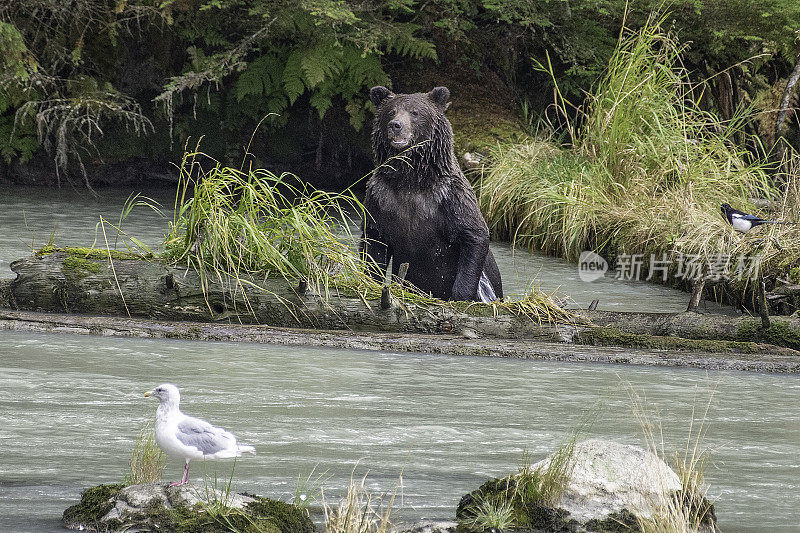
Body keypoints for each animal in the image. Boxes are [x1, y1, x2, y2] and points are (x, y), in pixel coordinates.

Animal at [360, 85, 504, 302]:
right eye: (391, 112)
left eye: (415, 112)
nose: (396, 125)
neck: (411, 180)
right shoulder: (381, 197)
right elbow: (373, 240)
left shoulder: (449, 197)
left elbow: (474, 235)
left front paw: (460, 295)